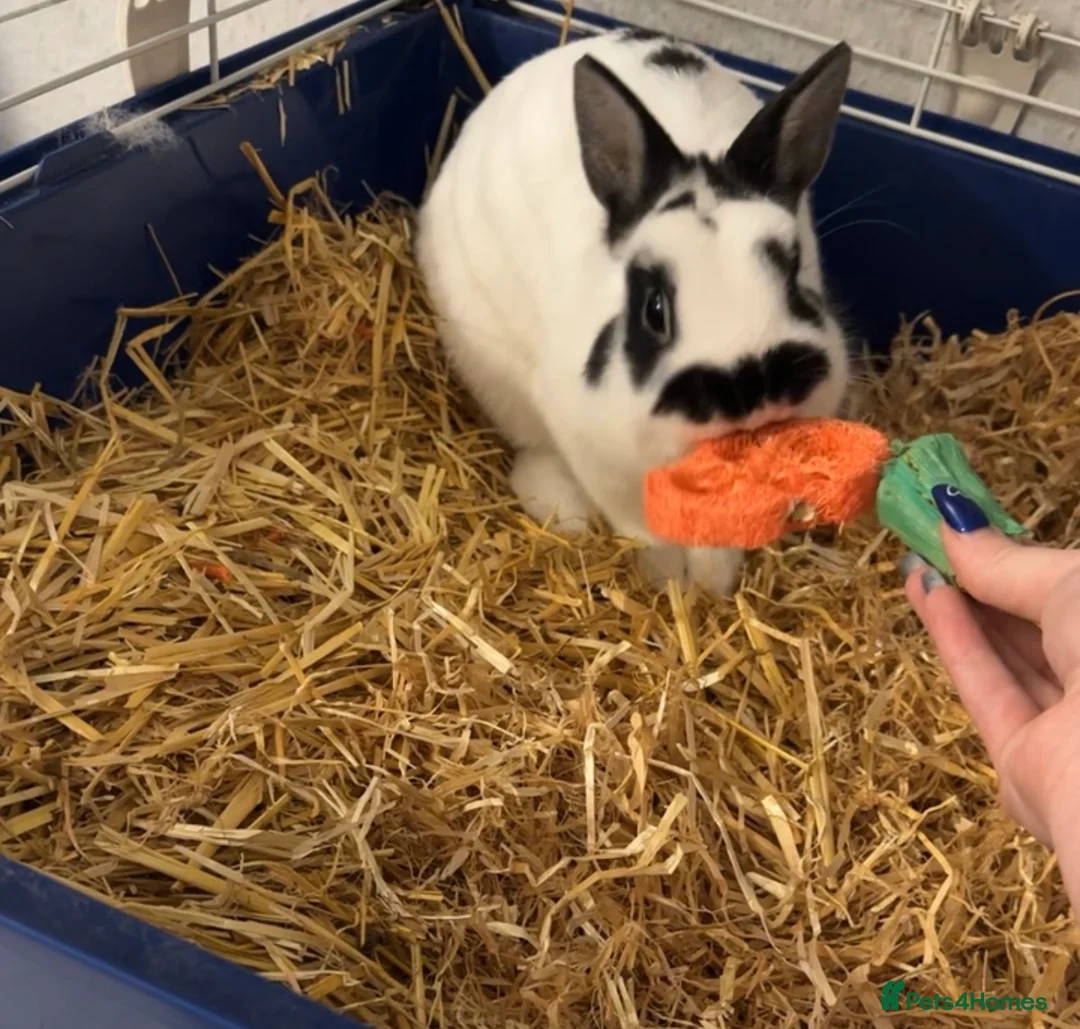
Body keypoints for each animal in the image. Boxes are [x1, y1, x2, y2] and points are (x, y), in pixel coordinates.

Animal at [416, 27, 853, 597]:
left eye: (793, 270)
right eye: (654, 308)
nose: (752, 387)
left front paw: (711, 585)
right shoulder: (595, 450)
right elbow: (641, 526)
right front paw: (667, 581)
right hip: (493, 374)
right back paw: (562, 510)